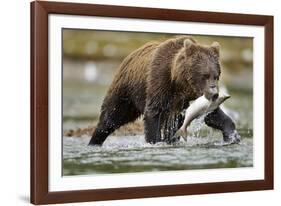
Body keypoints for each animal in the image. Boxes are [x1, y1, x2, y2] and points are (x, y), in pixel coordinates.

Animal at [88, 35, 238, 145]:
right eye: (205, 75)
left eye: (216, 76)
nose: (214, 93)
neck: (180, 84)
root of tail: (129, 56)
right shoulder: (160, 81)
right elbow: (153, 113)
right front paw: (155, 142)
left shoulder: (191, 98)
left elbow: (212, 114)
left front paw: (232, 136)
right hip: (126, 91)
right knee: (111, 117)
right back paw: (94, 141)